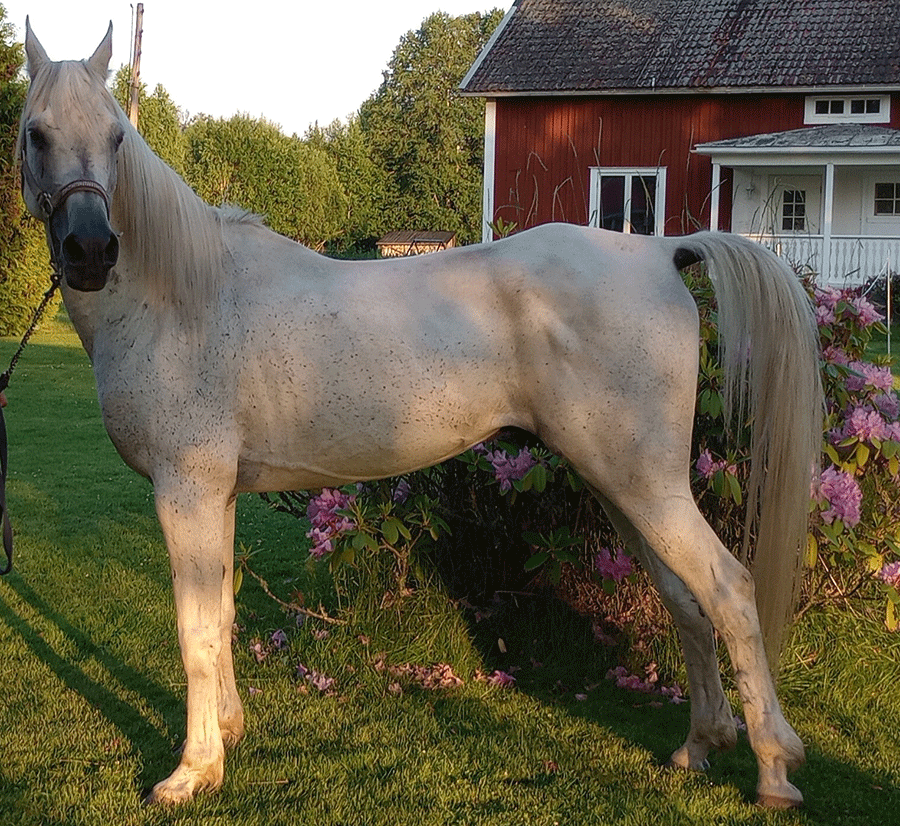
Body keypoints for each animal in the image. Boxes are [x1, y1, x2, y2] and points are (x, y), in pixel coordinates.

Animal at [21, 24, 824, 804]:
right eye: (36, 133)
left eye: (118, 136)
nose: (90, 250)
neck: (182, 298)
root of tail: (660, 253)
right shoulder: (214, 494)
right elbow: (219, 615)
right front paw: (227, 736)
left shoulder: (183, 489)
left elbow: (193, 631)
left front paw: (191, 772)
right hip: (623, 486)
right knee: (685, 599)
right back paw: (699, 746)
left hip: (645, 485)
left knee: (729, 589)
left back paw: (774, 772)